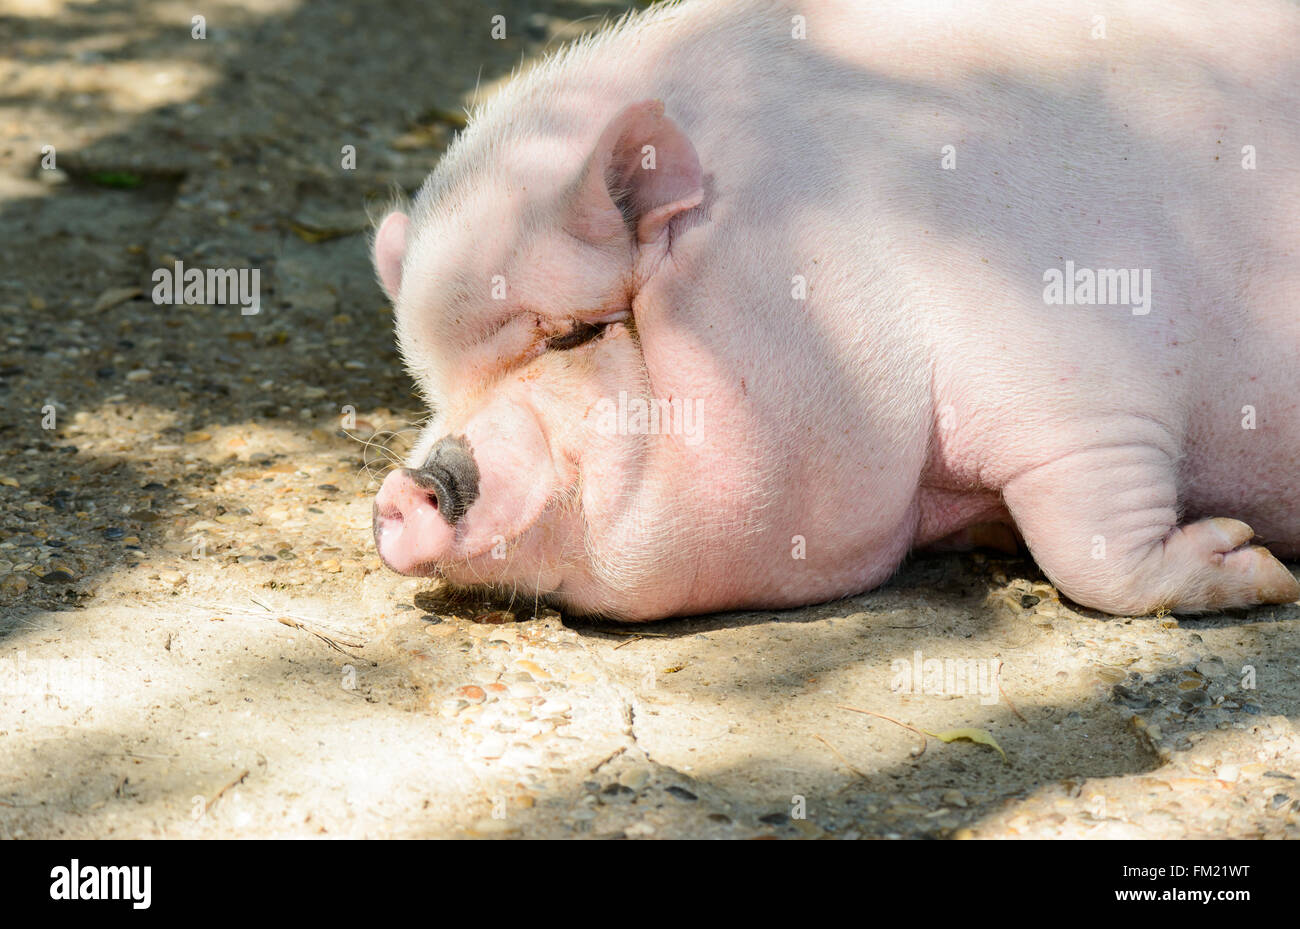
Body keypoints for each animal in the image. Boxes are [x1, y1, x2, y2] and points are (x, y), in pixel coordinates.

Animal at [366, 3, 1300, 626]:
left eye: (575, 332)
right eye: (432, 385)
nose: (412, 486)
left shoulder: (1083, 384)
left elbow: (1089, 542)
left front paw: (1256, 561)